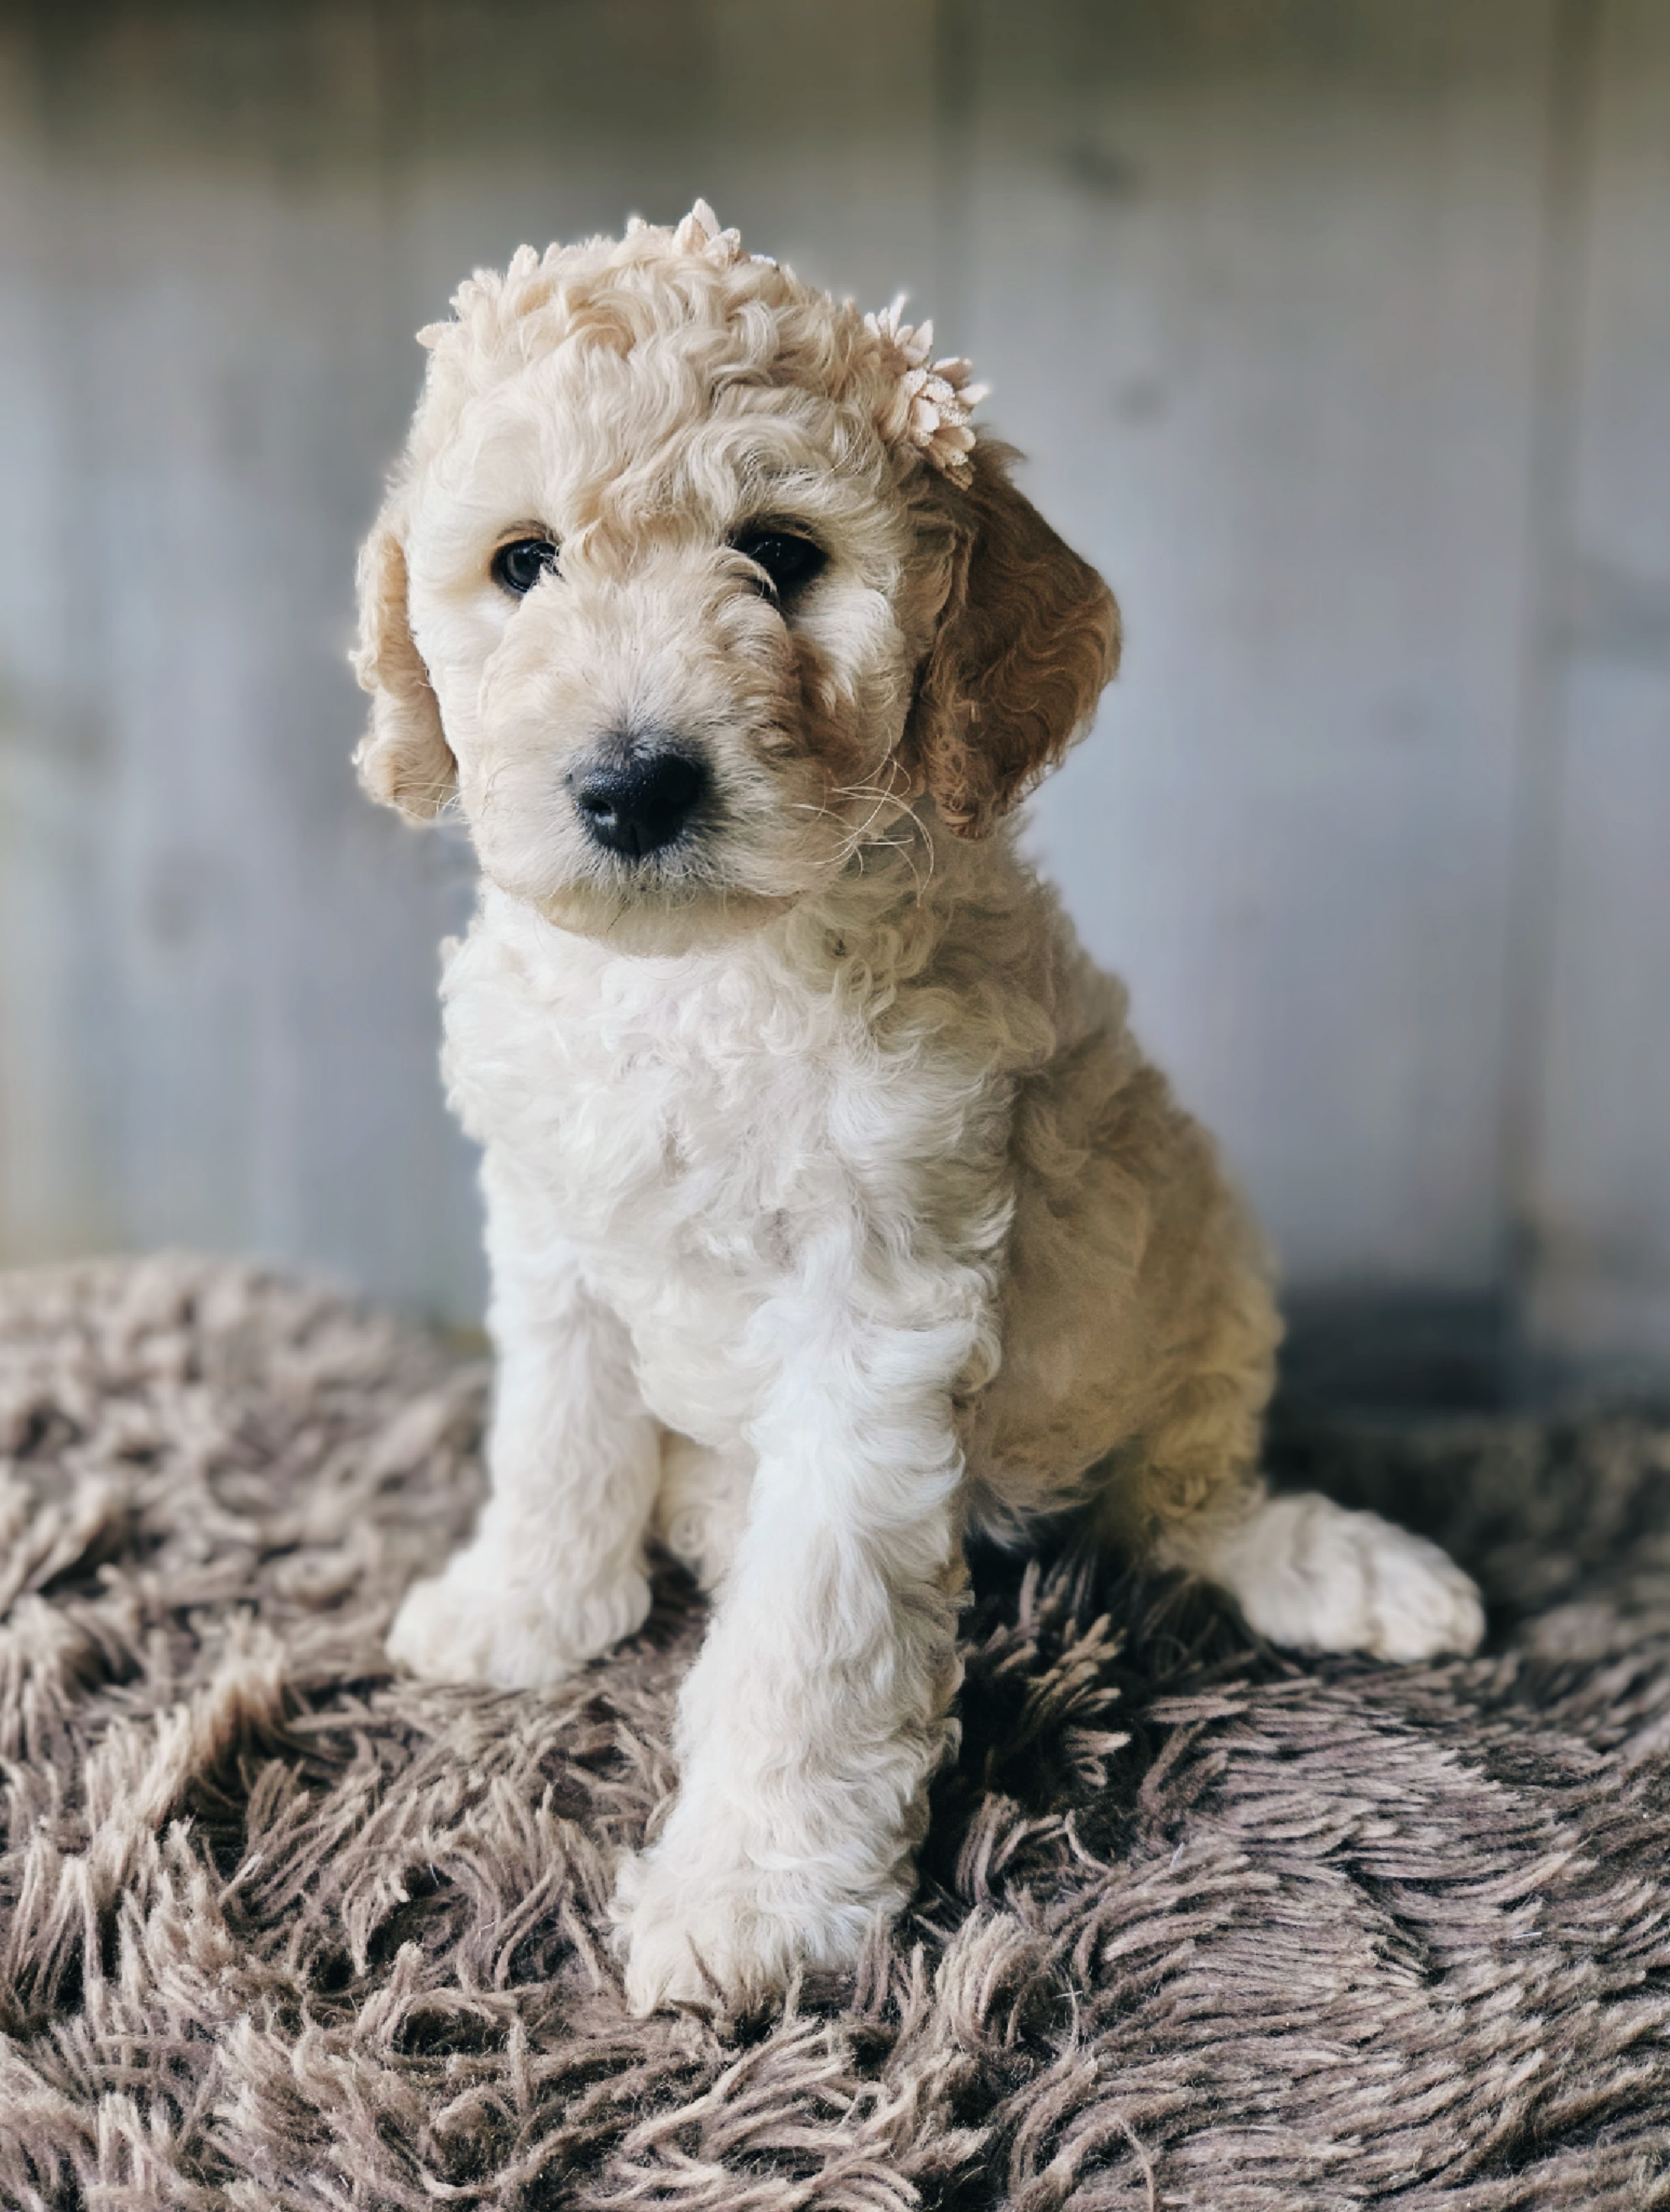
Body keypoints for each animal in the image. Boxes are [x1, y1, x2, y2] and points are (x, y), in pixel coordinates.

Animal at [356, 199, 1486, 2017]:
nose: (632, 785)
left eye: (782, 555)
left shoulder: (878, 1292)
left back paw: (1333, 1563)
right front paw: (528, 1604)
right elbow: (556, 1429)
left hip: (1205, 1265)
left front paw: (750, 1895)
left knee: (1186, 1494)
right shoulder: (549, 1220)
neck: (701, 977)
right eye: (522, 562)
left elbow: (814, 1624)